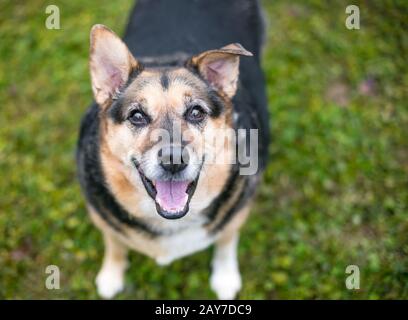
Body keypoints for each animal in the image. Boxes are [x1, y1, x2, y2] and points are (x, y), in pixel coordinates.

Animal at [77, 0, 270, 300]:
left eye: (195, 112)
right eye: (137, 116)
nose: (173, 161)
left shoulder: (237, 212)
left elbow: (226, 240)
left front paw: (225, 276)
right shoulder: (103, 218)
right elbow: (115, 242)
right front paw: (111, 274)